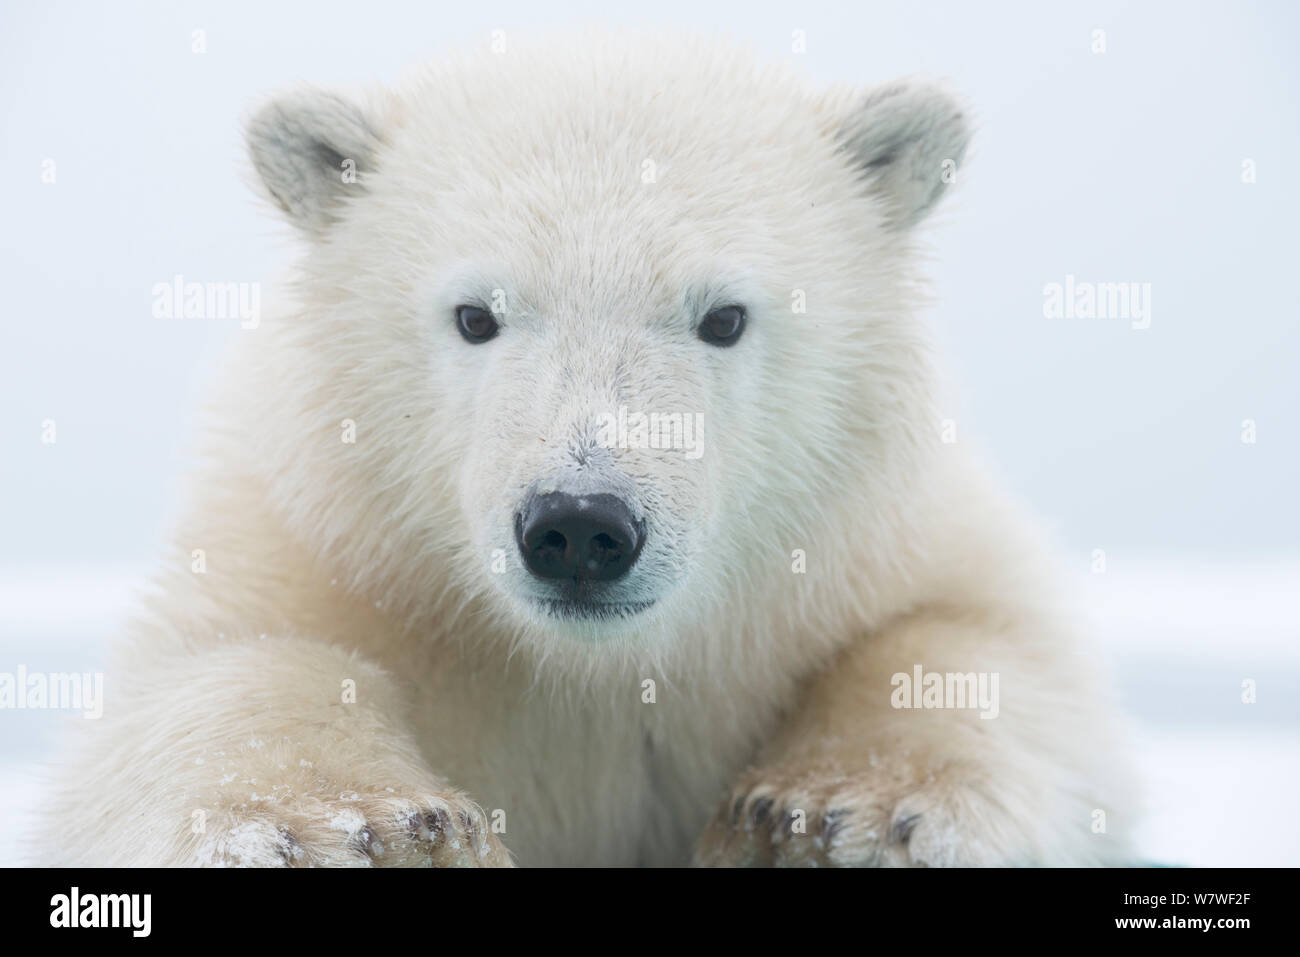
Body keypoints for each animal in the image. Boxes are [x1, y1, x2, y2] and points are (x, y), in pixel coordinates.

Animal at [40, 31, 1133, 868]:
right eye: (475, 315)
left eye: (722, 317)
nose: (578, 525)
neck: (593, 674)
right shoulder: (331, 545)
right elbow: (219, 673)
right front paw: (364, 831)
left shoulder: (873, 544)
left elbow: (976, 645)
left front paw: (827, 817)